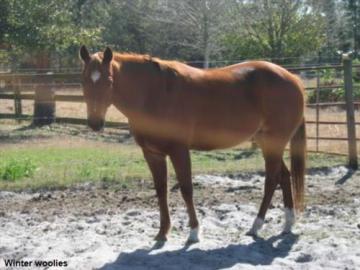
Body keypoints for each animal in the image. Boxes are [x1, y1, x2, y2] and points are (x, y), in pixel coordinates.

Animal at [80, 46, 306, 243]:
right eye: (83, 81)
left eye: (109, 81)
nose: (95, 123)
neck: (155, 93)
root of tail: (292, 79)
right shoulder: (153, 153)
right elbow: (161, 190)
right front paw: (162, 233)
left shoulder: (179, 151)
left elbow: (186, 189)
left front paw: (194, 232)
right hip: (266, 143)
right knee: (283, 177)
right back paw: (287, 224)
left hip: (274, 142)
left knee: (271, 180)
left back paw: (256, 226)